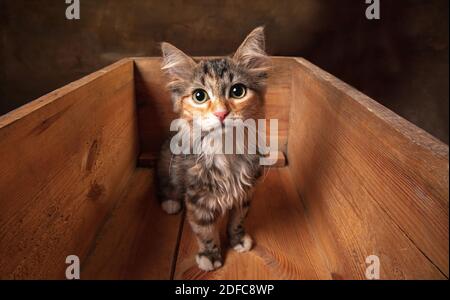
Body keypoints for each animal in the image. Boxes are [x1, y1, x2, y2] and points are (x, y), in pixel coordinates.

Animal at [156, 27, 268, 272]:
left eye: (237, 91)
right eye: (200, 95)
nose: (221, 113)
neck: (224, 149)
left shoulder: (245, 192)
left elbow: (238, 219)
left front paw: (237, 239)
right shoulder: (197, 199)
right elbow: (204, 230)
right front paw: (210, 254)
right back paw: (170, 202)